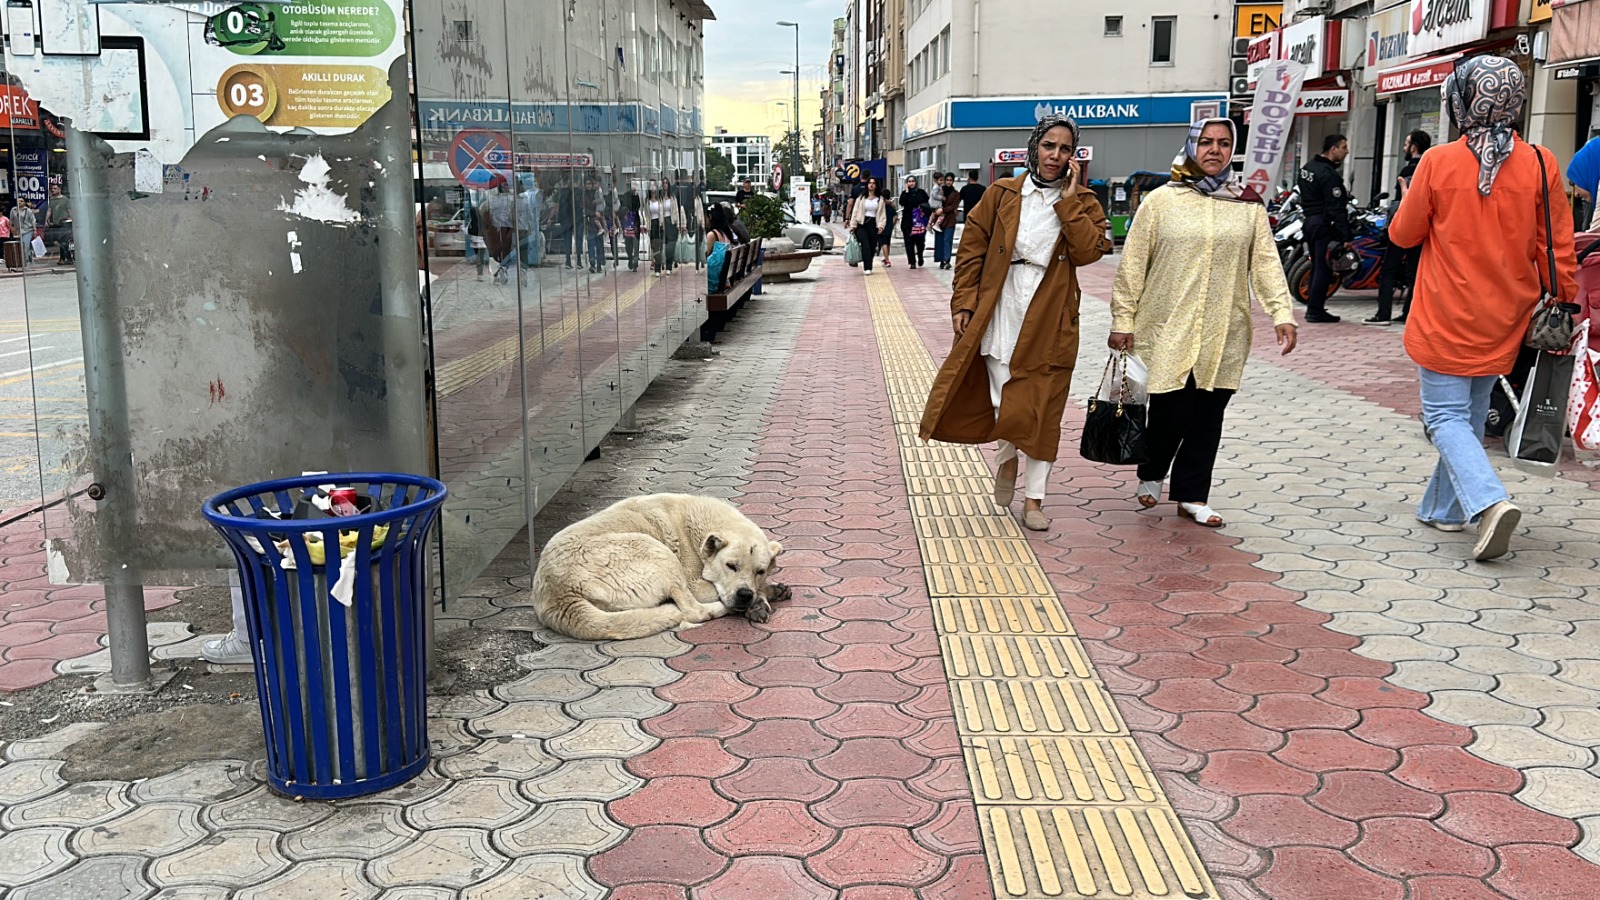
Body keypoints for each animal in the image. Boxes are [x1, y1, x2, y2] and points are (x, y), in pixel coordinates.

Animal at [531, 490, 787, 637]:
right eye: (730, 566)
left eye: (760, 571)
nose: (744, 595)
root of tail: (560, 596)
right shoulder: (695, 583)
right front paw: (764, 596)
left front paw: (766, 592)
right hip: (655, 550)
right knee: (693, 611)